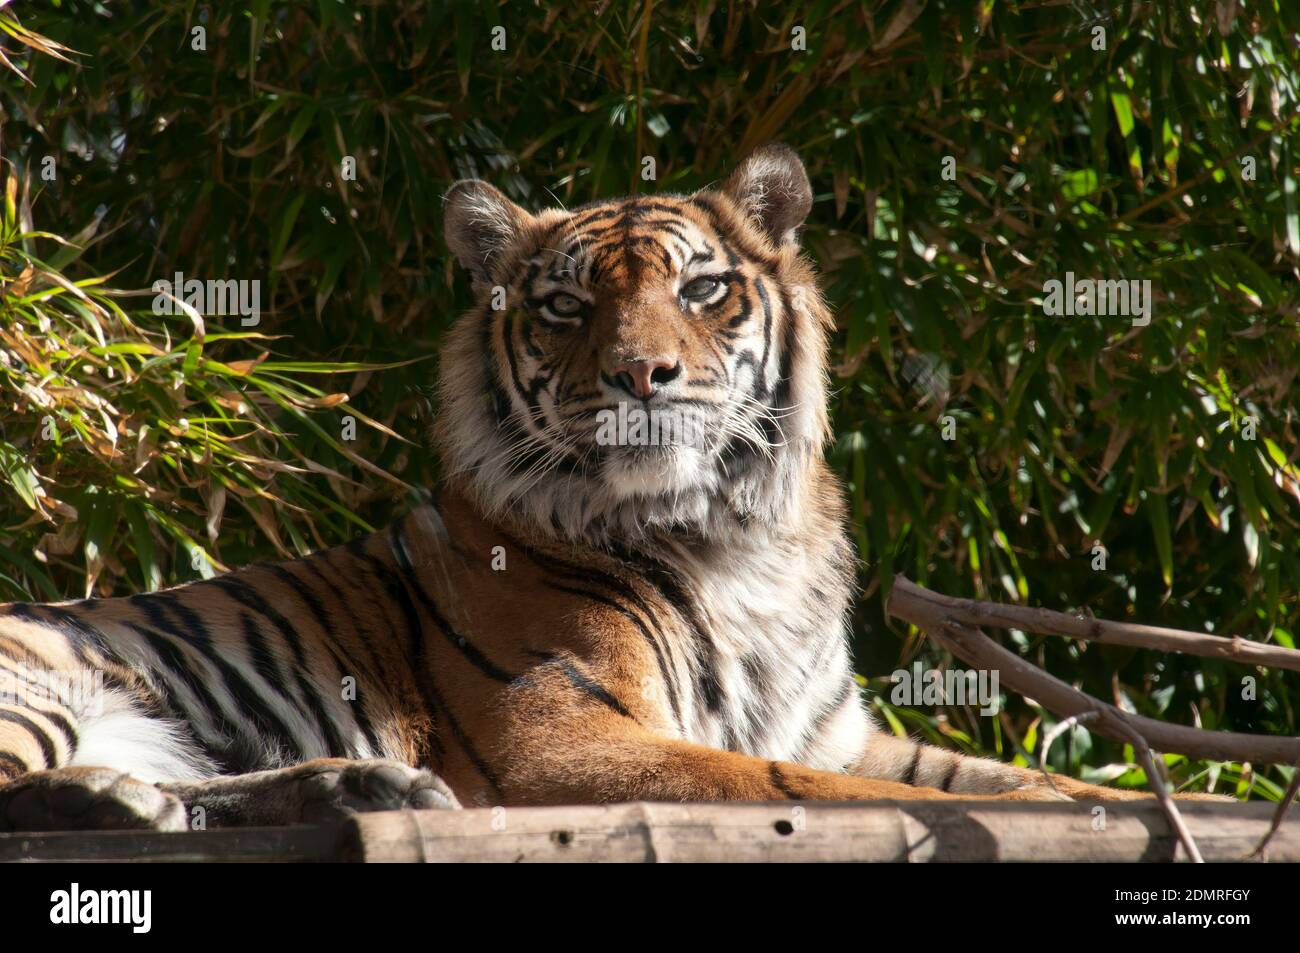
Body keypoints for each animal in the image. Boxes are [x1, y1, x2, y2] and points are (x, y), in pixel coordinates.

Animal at [0, 143, 1170, 834]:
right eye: (564, 306)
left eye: (702, 289)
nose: (640, 373)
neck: (735, 536)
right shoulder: (563, 736)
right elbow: (807, 789)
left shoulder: (829, 727)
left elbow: (1003, 776)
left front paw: (1135, 792)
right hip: (47, 681)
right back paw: (126, 796)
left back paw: (349, 784)